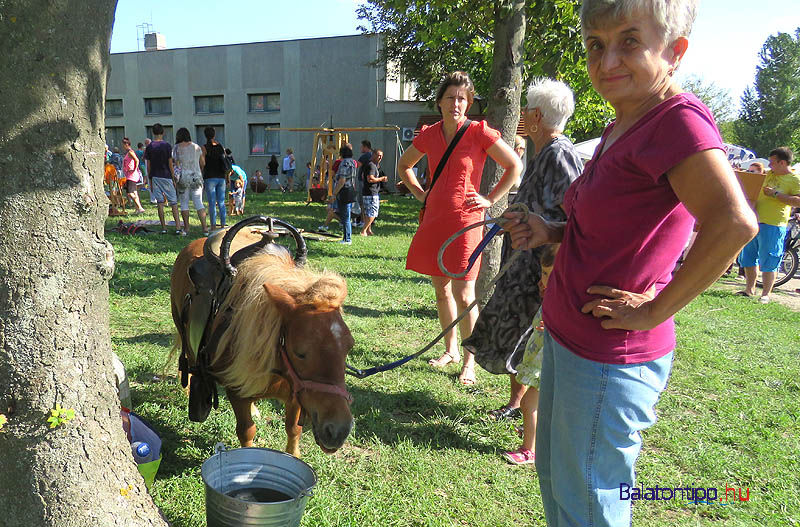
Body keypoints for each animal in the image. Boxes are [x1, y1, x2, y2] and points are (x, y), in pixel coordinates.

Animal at [170, 231, 354, 458]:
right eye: (299, 353)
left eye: (349, 347)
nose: (338, 430)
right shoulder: (237, 394)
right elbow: (246, 431)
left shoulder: (296, 395)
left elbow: (294, 429)